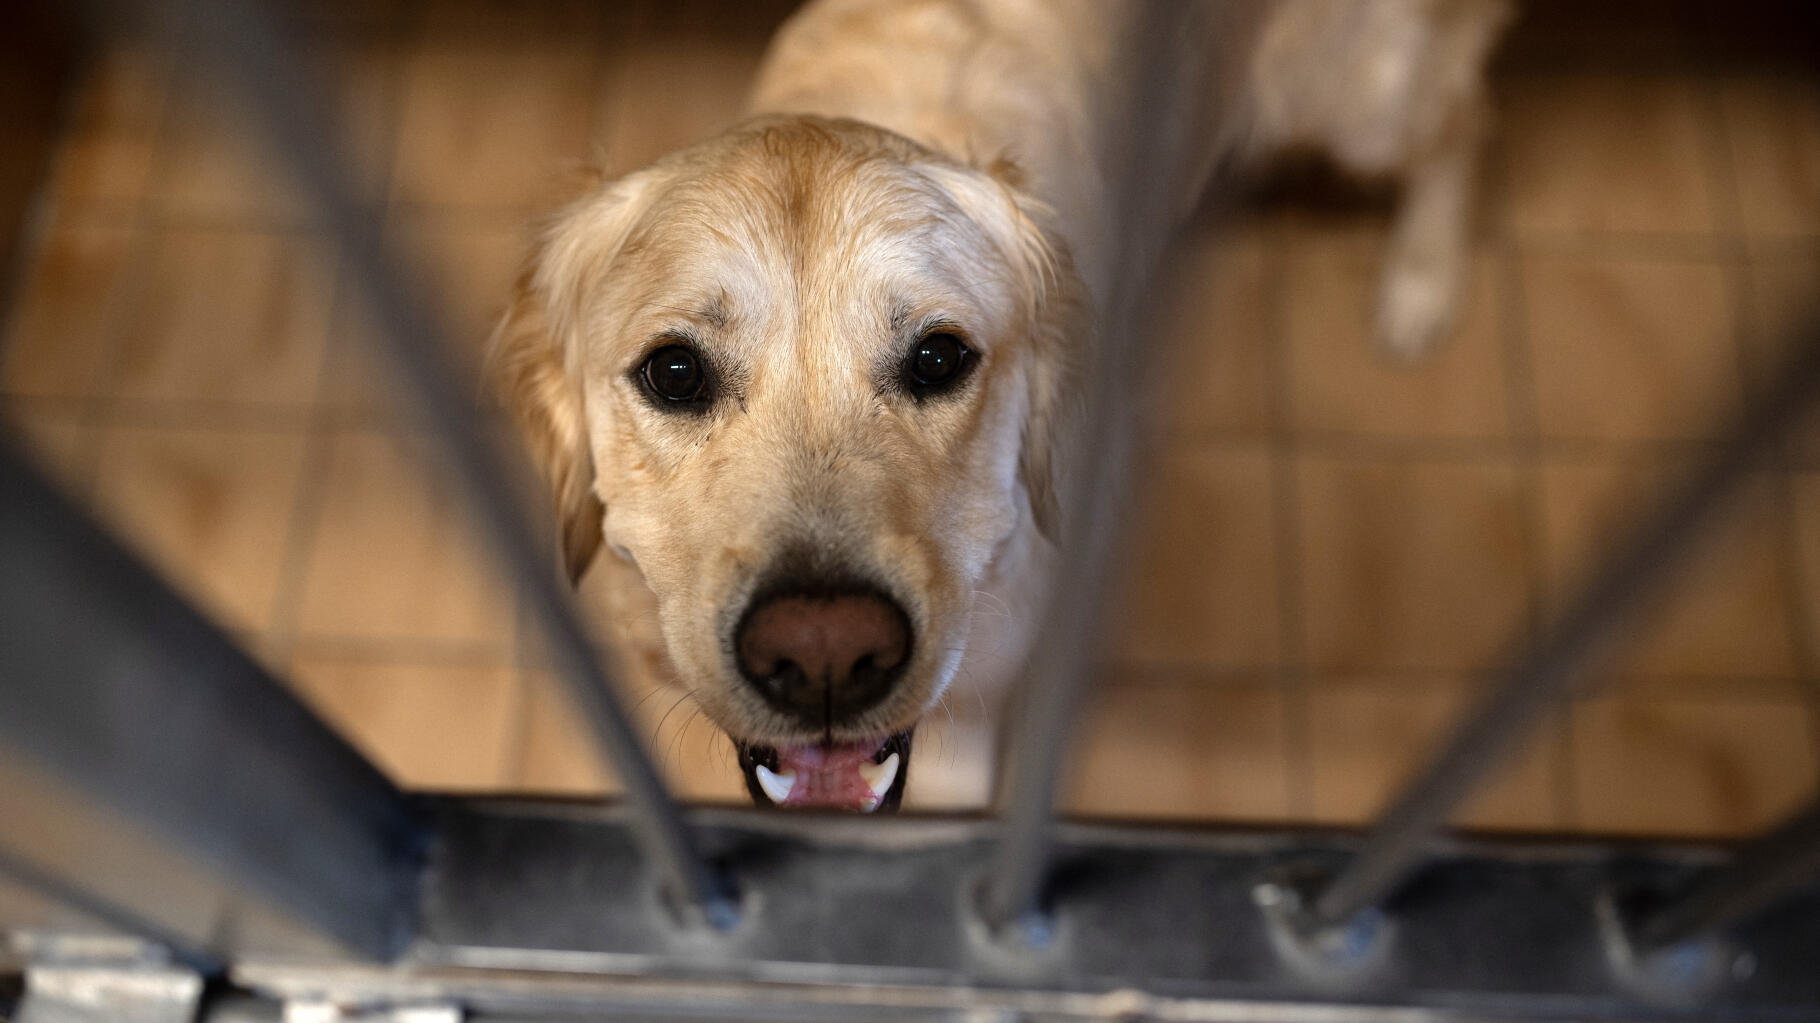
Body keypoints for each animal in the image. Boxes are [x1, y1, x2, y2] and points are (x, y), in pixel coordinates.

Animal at [491, 1, 1514, 811]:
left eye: (940, 357)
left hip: (1362, 91)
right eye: (674, 372)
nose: (824, 656)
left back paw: (1422, 283)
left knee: (1463, 118)